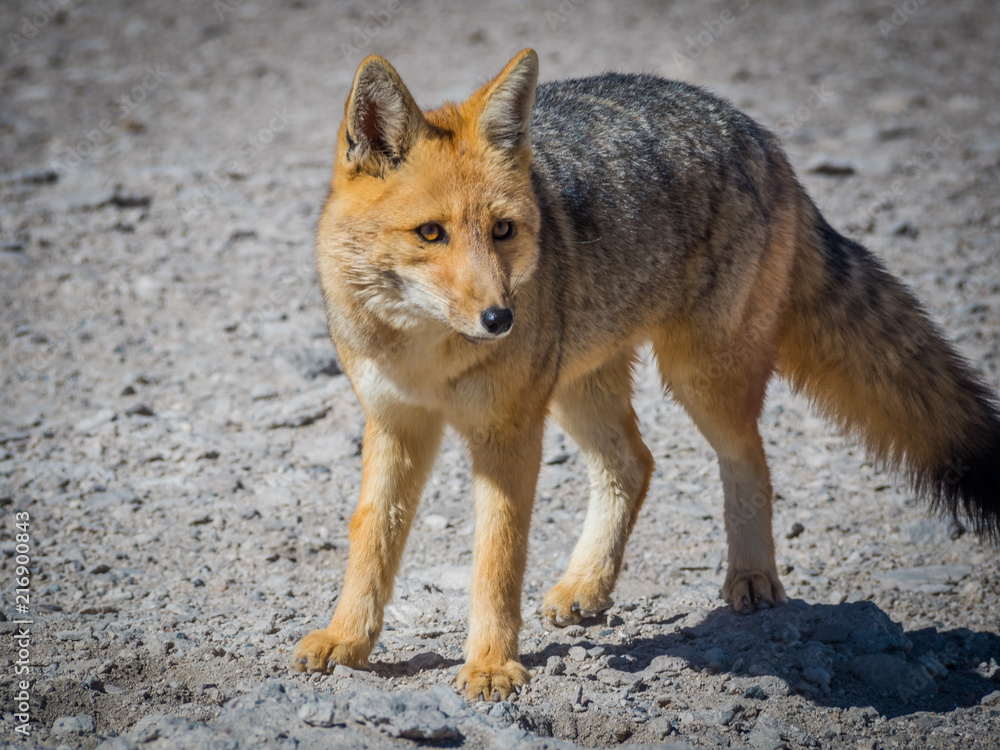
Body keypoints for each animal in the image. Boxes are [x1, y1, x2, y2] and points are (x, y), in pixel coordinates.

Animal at [292, 49, 1000, 700]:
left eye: (503, 231)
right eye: (431, 234)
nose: (501, 318)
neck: (425, 354)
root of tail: (756, 133)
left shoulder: (507, 434)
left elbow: (497, 559)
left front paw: (490, 664)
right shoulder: (396, 423)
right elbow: (372, 538)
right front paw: (347, 638)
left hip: (696, 379)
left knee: (750, 461)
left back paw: (752, 577)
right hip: (579, 388)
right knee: (634, 464)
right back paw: (587, 583)